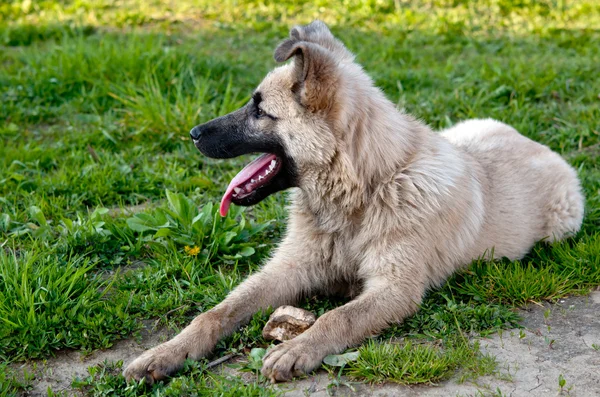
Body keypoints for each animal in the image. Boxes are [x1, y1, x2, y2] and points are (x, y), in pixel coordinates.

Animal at [123, 20, 584, 382]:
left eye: (259, 111)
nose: (194, 133)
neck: (364, 191)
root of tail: (529, 139)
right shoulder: (287, 270)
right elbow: (216, 312)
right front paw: (165, 353)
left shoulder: (394, 289)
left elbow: (337, 316)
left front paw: (297, 349)